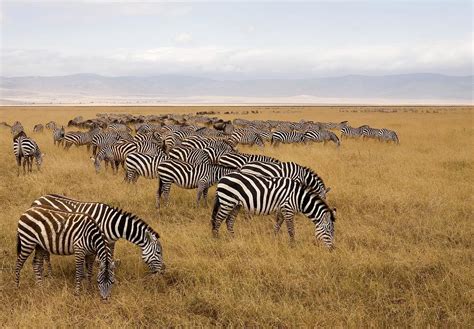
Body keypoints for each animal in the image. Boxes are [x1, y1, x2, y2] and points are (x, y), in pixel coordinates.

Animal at [31, 193, 165, 272]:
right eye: (159, 252)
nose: (163, 270)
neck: (113, 224)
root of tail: (37, 199)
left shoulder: (111, 242)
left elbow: (111, 257)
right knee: (46, 255)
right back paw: (49, 272)